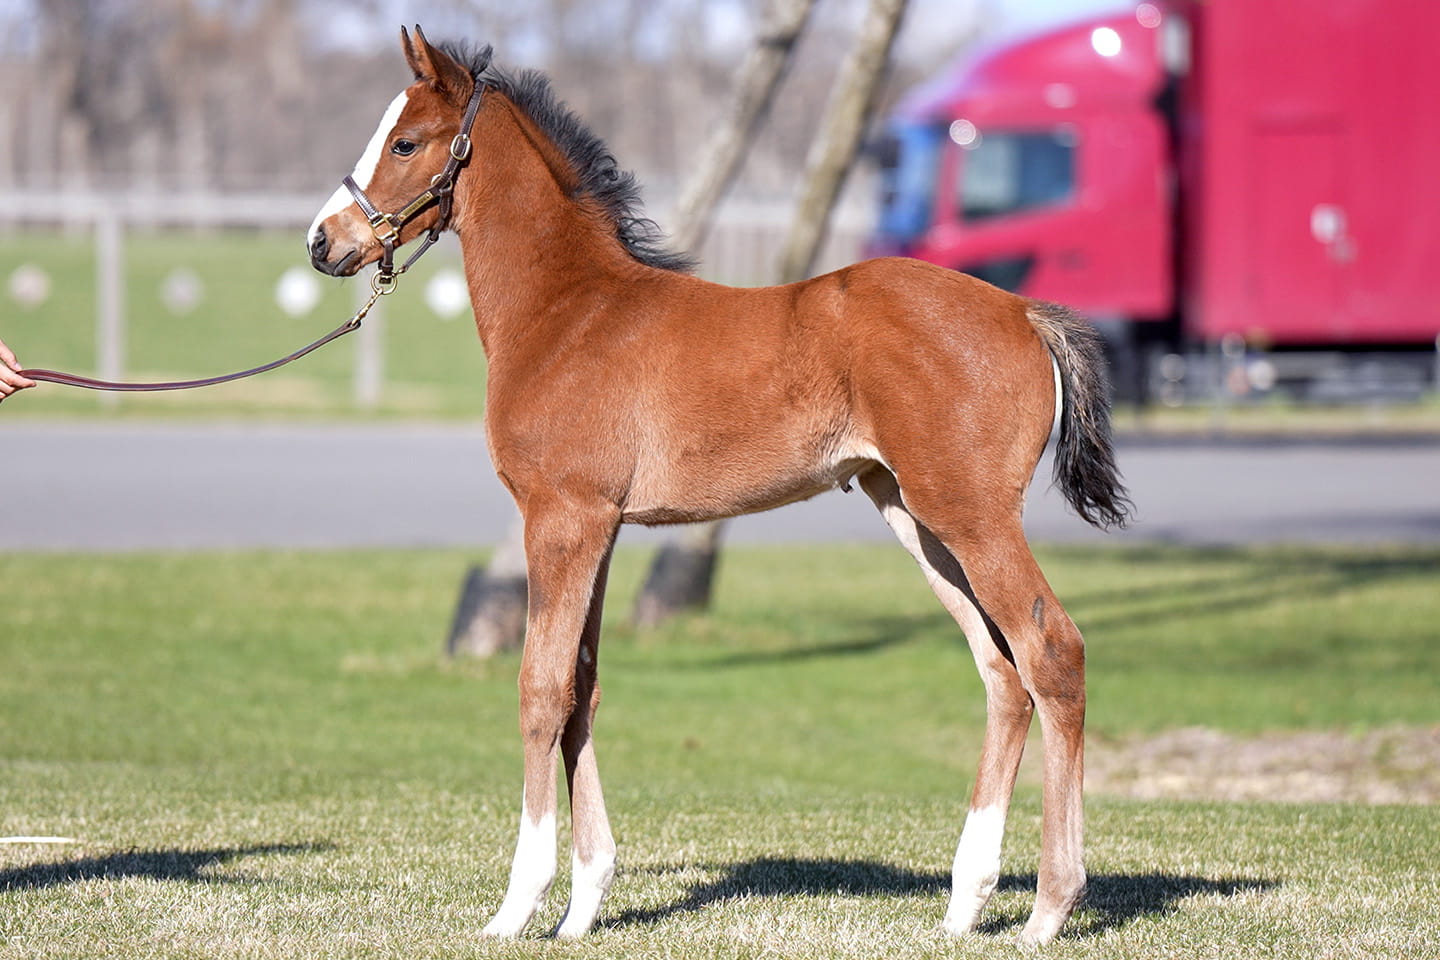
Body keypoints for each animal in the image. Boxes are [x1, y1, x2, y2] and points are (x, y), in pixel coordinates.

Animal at [307, 26, 1130, 946]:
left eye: (405, 143)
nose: (323, 242)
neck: (569, 311)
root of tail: (1025, 312)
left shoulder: (560, 518)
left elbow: (541, 690)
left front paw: (518, 906)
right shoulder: (601, 525)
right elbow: (584, 686)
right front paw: (584, 906)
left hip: (972, 514)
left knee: (1051, 652)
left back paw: (1049, 909)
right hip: (915, 517)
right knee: (1000, 671)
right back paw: (964, 904)